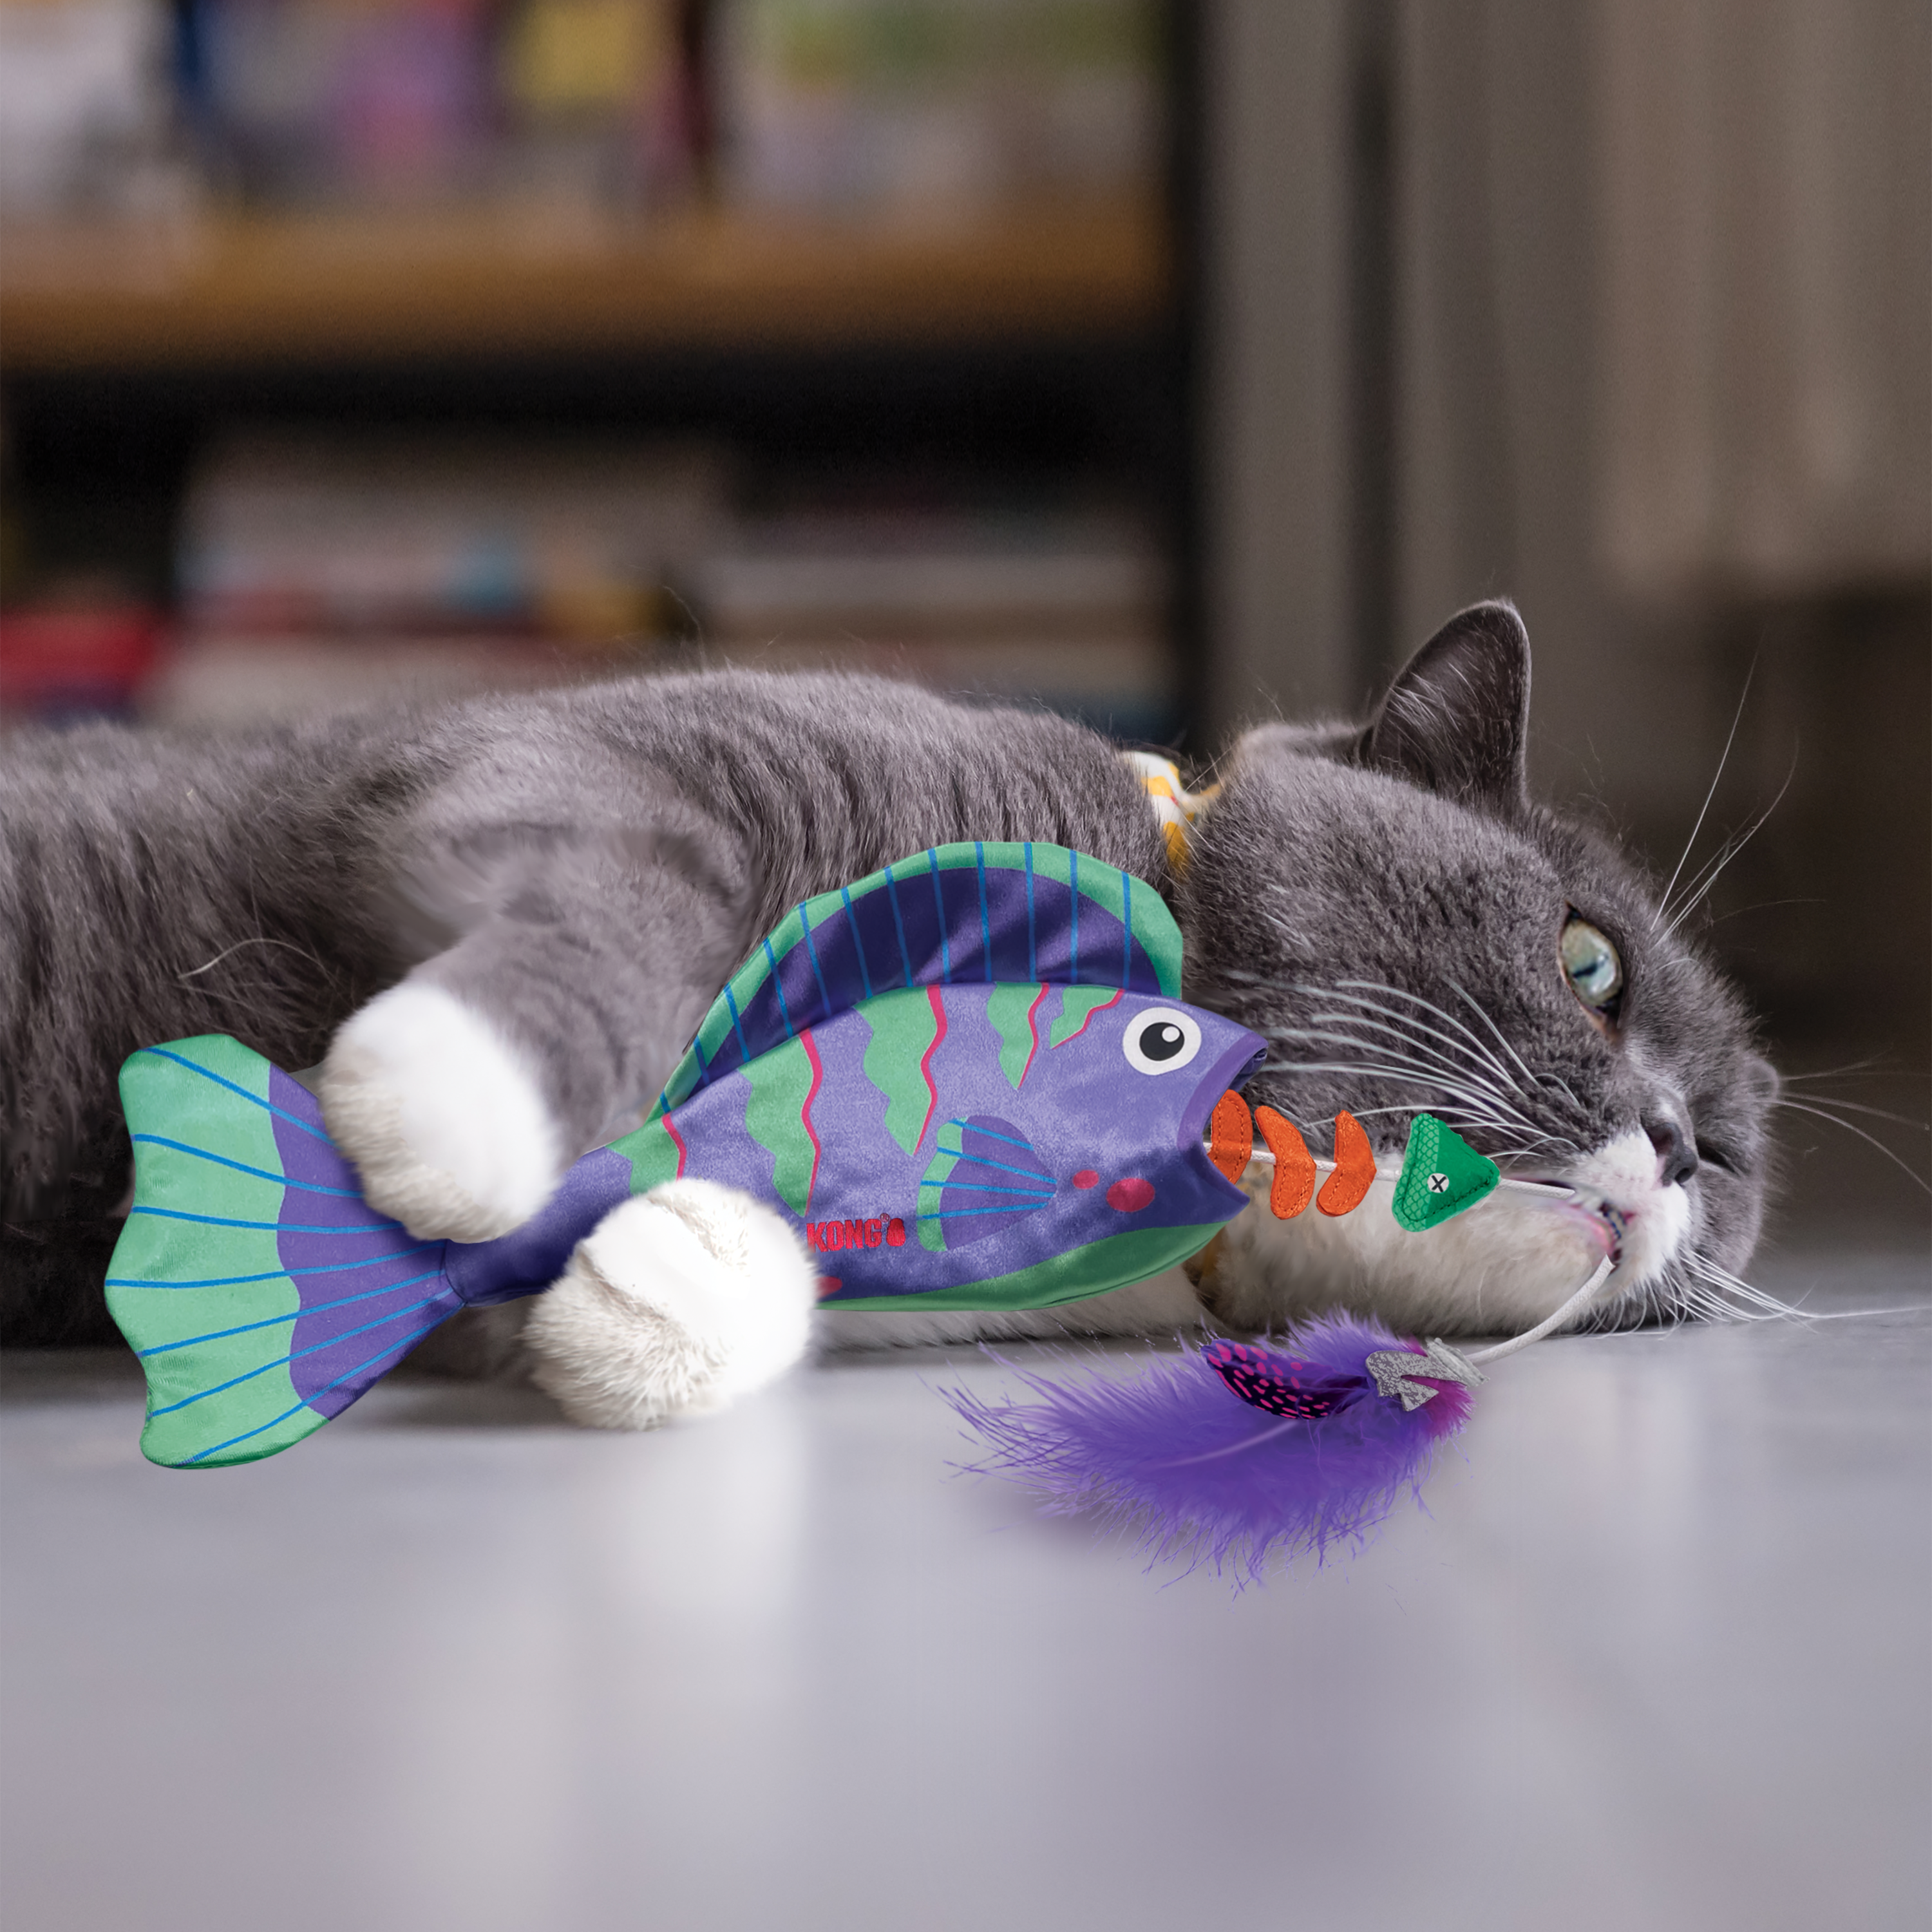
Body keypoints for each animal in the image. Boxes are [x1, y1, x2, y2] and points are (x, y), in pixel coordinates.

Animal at [0, 603, 1777, 1422]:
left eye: (1735, 1153)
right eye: (1588, 964)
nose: (1676, 1145)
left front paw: (658, 1288)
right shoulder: (602, 763)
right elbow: (625, 882)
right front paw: (451, 1098)